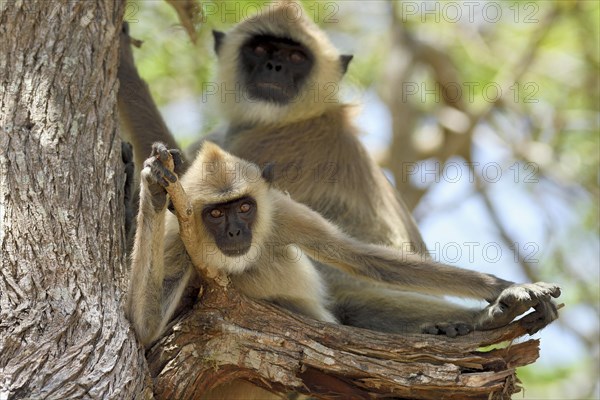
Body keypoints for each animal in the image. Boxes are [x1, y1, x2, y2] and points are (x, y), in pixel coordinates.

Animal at [118, 3, 564, 338]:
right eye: (260, 50)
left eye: (295, 57)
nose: (274, 68)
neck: (305, 116)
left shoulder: (262, 145)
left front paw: (125, 72)